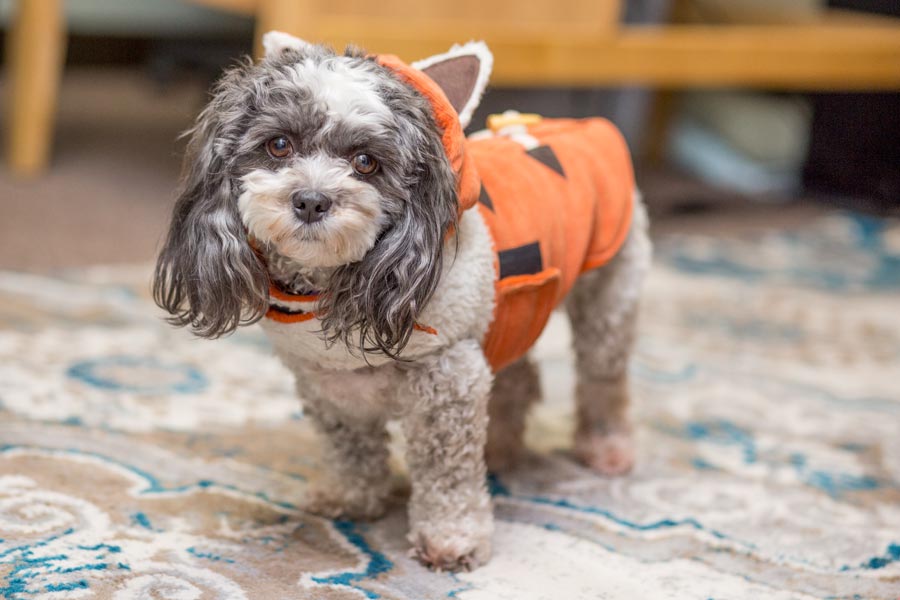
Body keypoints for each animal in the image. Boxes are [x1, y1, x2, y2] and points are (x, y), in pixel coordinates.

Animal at [153, 31, 648, 572]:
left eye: (366, 162)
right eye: (279, 145)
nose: (311, 200)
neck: (332, 289)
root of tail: (585, 125)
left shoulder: (447, 381)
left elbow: (447, 473)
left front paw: (452, 540)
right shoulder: (329, 384)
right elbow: (351, 451)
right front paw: (353, 500)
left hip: (608, 295)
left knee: (603, 380)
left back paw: (607, 449)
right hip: (512, 311)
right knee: (519, 377)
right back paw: (501, 449)